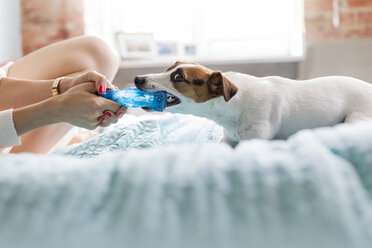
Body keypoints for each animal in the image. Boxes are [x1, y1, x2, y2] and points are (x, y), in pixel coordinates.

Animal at [135, 60, 372, 144]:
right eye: (168, 68)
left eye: (178, 77)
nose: (137, 78)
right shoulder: (227, 140)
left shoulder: (253, 140)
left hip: (355, 119)